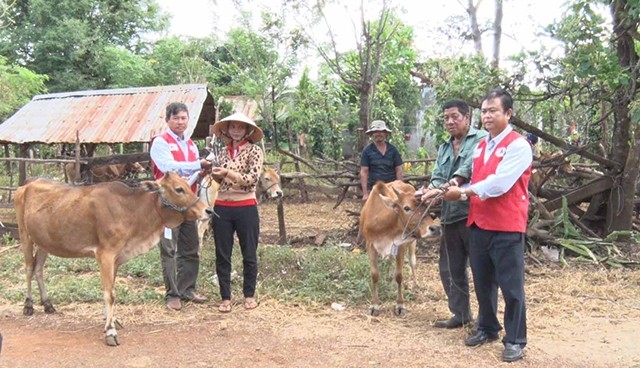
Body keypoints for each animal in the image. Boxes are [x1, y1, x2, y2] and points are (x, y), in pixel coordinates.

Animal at [14, 172, 205, 344]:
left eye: (189, 186)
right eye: (178, 189)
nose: (207, 210)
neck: (131, 209)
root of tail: (28, 183)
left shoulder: (116, 259)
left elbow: (110, 290)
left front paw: (111, 321)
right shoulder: (105, 255)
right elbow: (109, 294)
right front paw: (110, 331)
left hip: (44, 243)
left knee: (38, 269)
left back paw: (47, 304)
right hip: (25, 236)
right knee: (29, 268)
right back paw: (28, 305)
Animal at [360, 180, 440, 316]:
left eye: (426, 207)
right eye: (406, 207)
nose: (435, 229)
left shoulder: (400, 246)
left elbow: (399, 276)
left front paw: (400, 305)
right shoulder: (370, 246)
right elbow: (375, 275)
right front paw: (374, 305)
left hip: (412, 243)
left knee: (412, 262)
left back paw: (415, 285)